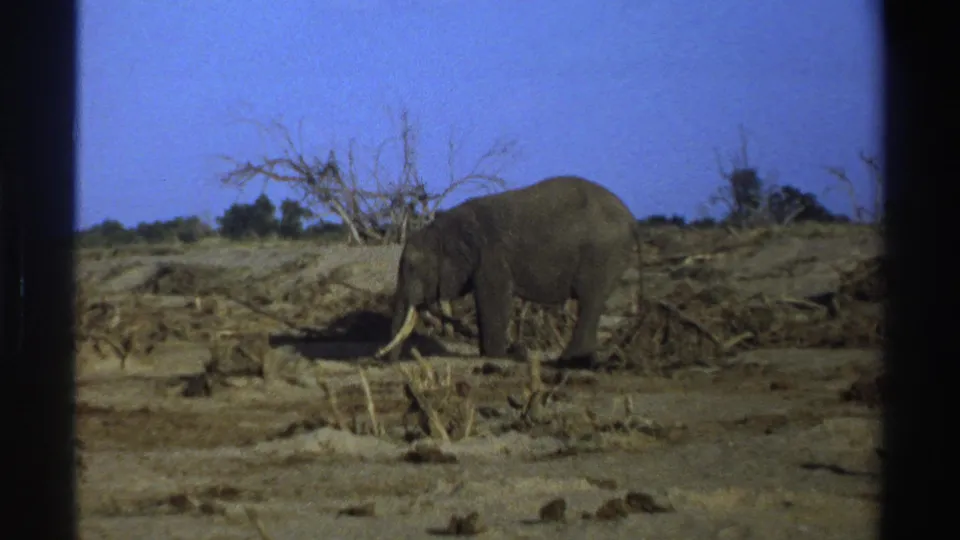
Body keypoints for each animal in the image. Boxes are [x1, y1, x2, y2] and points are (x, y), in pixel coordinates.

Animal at [375, 175, 641, 367]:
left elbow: (493, 299)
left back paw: (569, 361)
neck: (446, 226)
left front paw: (495, 355)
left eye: (413, 268)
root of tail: (632, 219)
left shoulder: (492, 258)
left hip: (602, 253)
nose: (383, 361)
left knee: (590, 300)